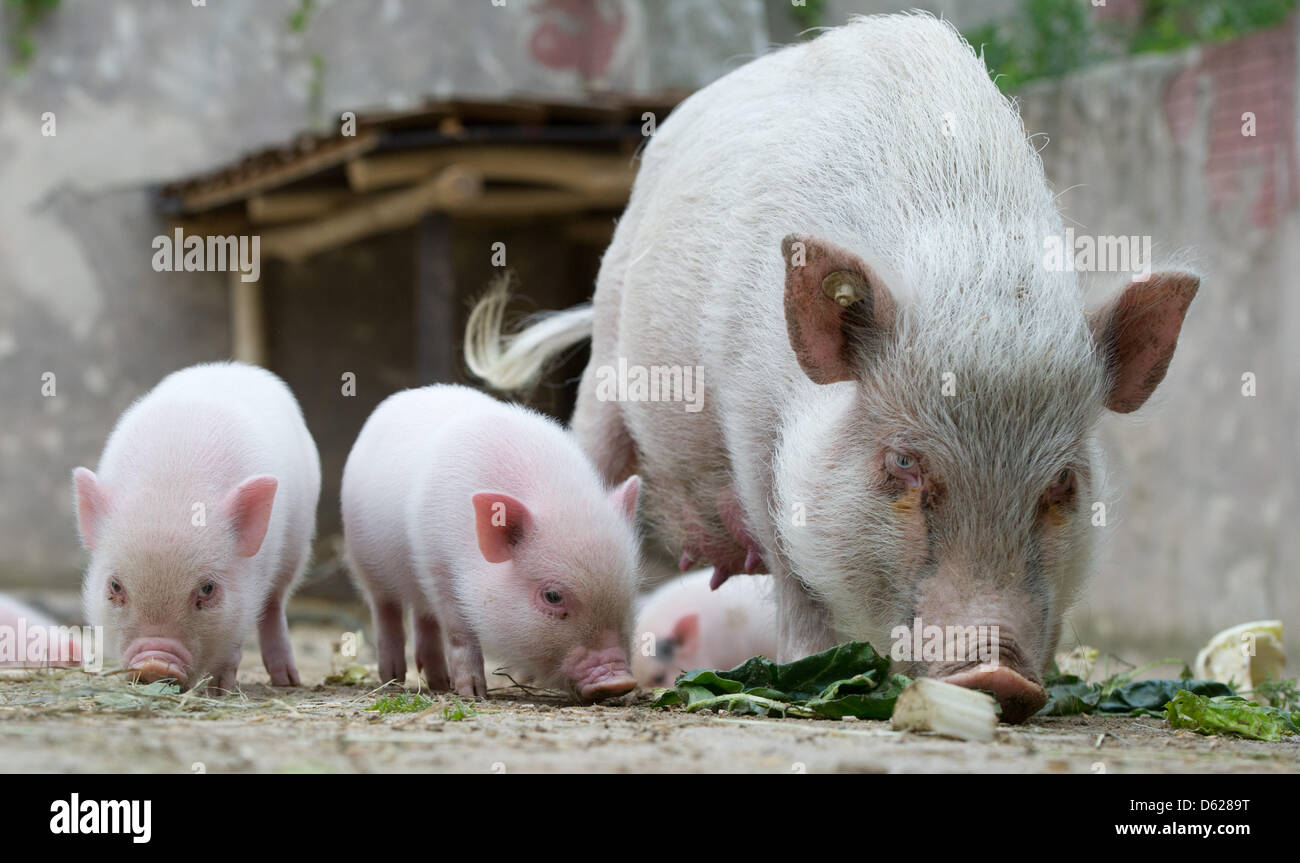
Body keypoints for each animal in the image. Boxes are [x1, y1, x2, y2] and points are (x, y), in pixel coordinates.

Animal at [74, 361, 321, 691]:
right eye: (115, 586)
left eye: (207, 588)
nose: (154, 663)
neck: (172, 487)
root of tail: (231, 367)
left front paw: (220, 690)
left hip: (296, 546)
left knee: (275, 603)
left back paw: (287, 681)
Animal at [465, 15, 1196, 722]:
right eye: (903, 462)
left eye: (1064, 482)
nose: (997, 672)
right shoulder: (751, 420)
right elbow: (791, 565)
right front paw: (809, 675)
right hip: (608, 360)